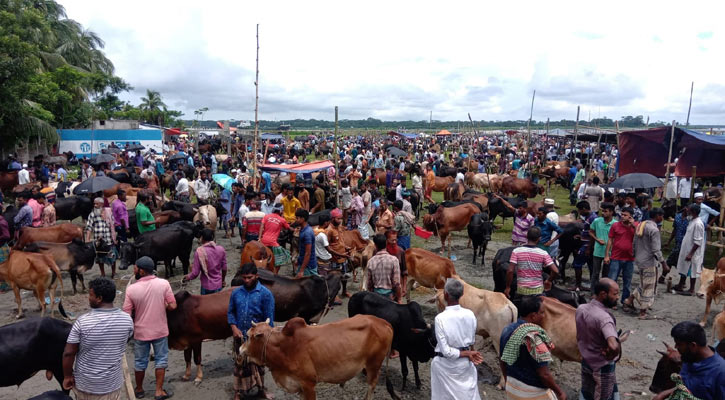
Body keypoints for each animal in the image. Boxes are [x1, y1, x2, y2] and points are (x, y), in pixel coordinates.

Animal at [240, 316, 394, 400]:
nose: (240, 349)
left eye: (248, 335)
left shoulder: (309, 384)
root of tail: (383, 322)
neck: (284, 347)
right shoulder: (300, 386)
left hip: (374, 365)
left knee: (371, 385)